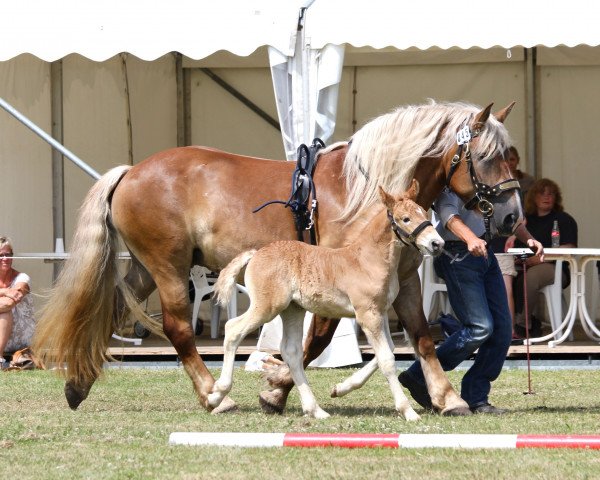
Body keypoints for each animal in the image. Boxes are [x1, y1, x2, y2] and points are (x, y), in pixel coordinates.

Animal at [209, 180, 442, 420]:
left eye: (423, 212)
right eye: (405, 218)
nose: (437, 243)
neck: (369, 259)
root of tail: (255, 253)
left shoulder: (380, 311)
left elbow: (388, 350)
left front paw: (341, 388)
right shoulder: (367, 314)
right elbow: (386, 359)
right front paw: (407, 411)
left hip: (292, 310)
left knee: (291, 352)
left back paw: (315, 410)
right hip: (267, 307)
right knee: (233, 329)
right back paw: (216, 396)